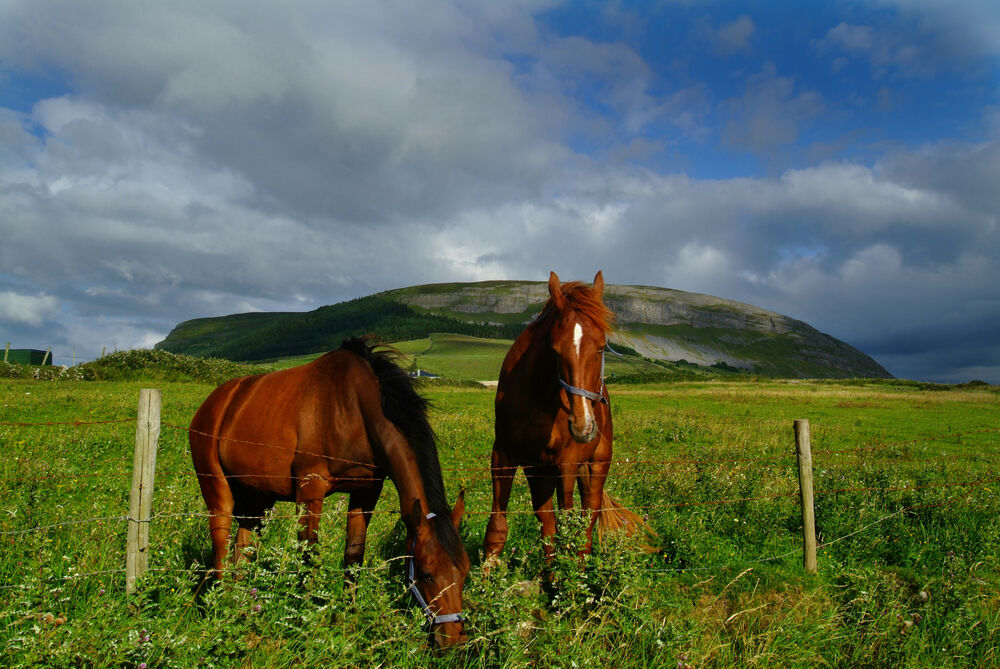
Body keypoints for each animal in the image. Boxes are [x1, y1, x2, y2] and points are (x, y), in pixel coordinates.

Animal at [189, 336, 470, 644]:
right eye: (427, 573)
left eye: (465, 572)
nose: (453, 639)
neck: (353, 410)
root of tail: (214, 402)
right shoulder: (310, 488)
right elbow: (309, 555)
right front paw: (307, 621)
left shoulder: (366, 491)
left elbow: (354, 555)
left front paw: (349, 615)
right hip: (217, 489)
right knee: (221, 544)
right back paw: (221, 605)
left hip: (257, 498)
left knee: (243, 548)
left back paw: (241, 605)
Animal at [484, 272, 640, 564]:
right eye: (555, 349)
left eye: (601, 348)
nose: (583, 425)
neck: (539, 396)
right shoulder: (504, 454)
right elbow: (500, 525)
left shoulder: (567, 462)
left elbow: (570, 526)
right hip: (541, 472)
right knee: (548, 523)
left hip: (594, 465)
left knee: (587, 519)